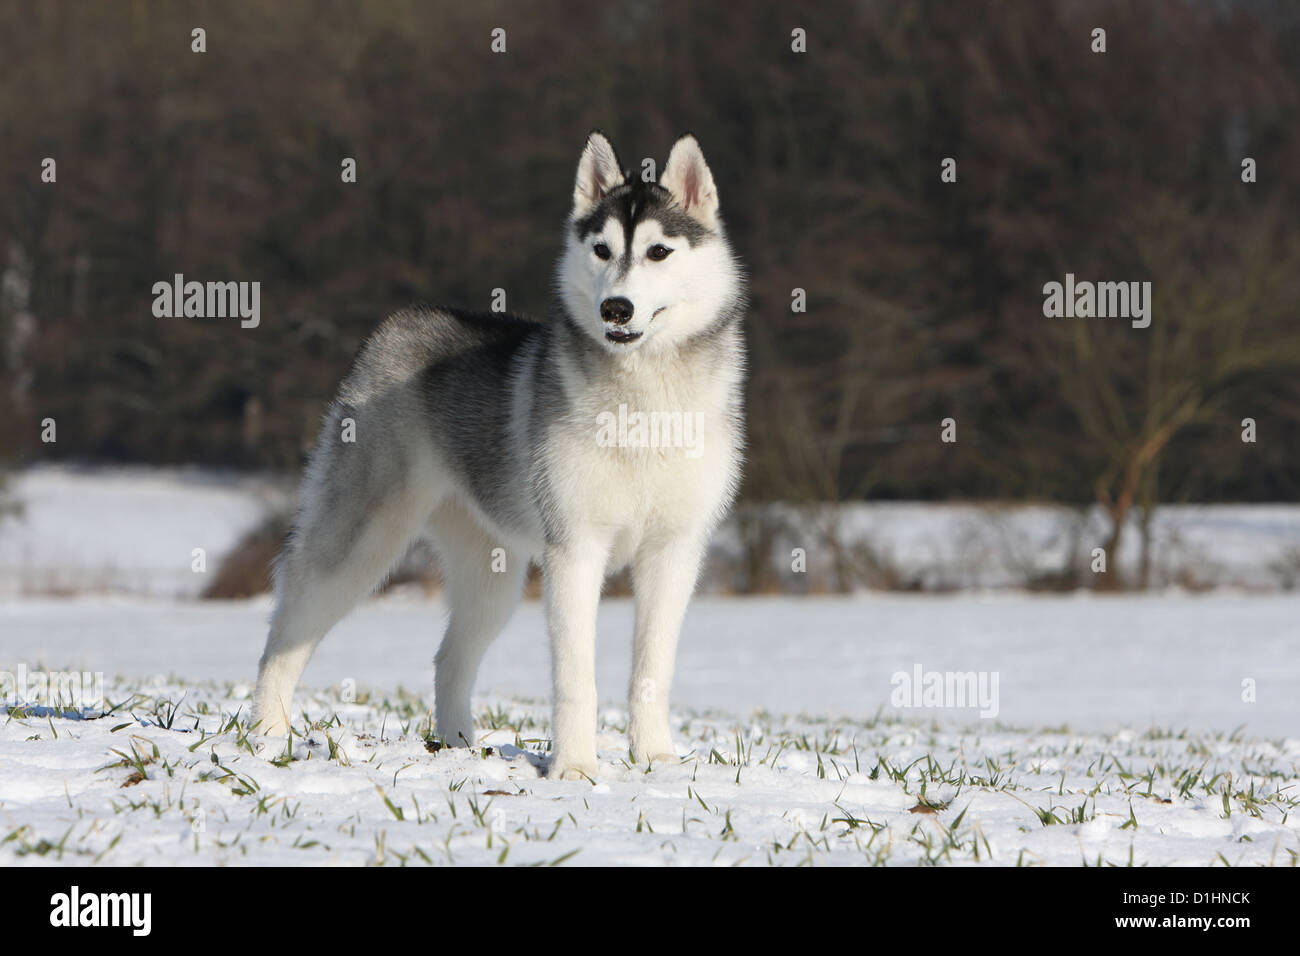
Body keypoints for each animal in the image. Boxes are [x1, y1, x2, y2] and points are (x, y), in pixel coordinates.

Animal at [249, 130, 748, 780]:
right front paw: (575, 769)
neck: (644, 405)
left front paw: (656, 758)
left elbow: (652, 671)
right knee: (284, 635)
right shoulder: (575, 551)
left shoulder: (674, 552)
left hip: (493, 573)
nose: (615, 308)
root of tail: (401, 322)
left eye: (659, 252)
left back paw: (459, 746)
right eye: (601, 249)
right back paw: (266, 735)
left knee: (448, 658)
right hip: (357, 543)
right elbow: (575, 677)